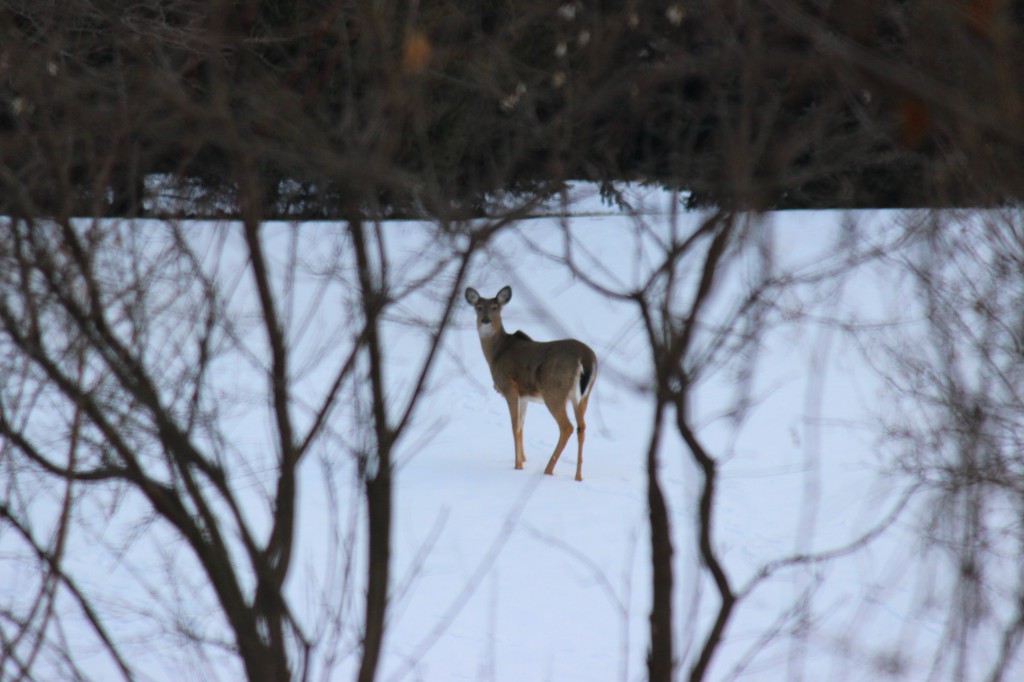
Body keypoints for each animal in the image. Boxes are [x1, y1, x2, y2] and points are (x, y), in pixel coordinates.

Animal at [466, 284, 598, 481]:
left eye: (496, 307)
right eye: (479, 307)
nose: (486, 320)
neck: (497, 353)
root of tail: (586, 358)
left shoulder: (510, 386)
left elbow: (514, 426)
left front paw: (517, 466)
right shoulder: (524, 395)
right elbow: (522, 425)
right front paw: (523, 459)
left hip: (554, 391)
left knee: (567, 427)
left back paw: (548, 470)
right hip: (583, 396)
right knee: (581, 427)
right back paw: (578, 477)